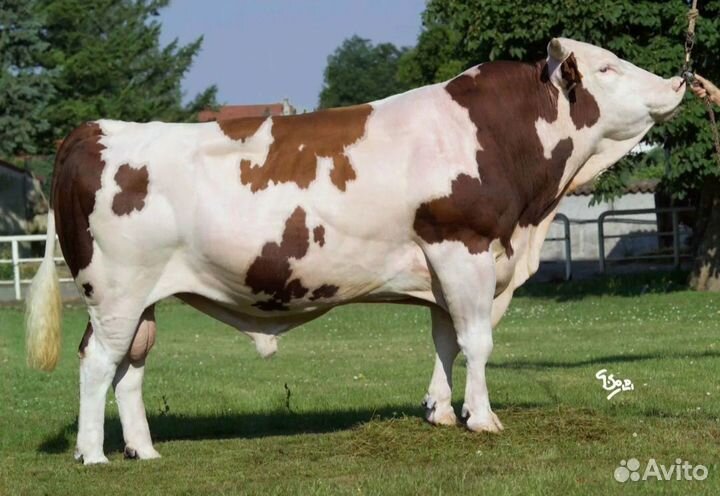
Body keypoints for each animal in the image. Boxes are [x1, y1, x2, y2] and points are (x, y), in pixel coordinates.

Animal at [26, 38, 685, 464]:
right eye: (608, 66)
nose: (679, 81)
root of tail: (94, 130)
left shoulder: (444, 265)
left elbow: (445, 340)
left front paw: (440, 412)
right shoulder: (463, 246)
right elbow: (476, 341)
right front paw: (482, 419)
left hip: (144, 297)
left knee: (131, 365)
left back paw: (144, 450)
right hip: (115, 291)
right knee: (97, 362)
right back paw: (93, 456)